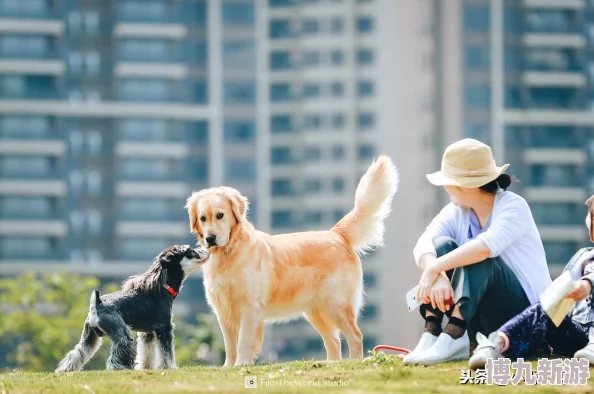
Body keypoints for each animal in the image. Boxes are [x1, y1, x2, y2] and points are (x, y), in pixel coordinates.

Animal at [53, 243, 210, 372]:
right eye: (189, 251)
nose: (207, 247)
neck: (163, 285)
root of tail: (96, 304)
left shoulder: (148, 333)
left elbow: (147, 353)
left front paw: (146, 368)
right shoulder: (164, 329)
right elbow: (166, 353)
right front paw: (169, 367)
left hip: (89, 336)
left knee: (77, 353)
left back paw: (65, 370)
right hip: (122, 335)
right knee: (116, 354)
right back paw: (120, 368)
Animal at [185, 155, 398, 366]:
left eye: (220, 215)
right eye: (203, 218)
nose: (210, 238)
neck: (229, 254)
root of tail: (336, 234)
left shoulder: (249, 308)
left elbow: (243, 342)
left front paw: (241, 364)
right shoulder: (223, 311)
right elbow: (230, 345)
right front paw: (229, 367)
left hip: (335, 305)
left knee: (355, 335)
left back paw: (352, 362)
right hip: (316, 311)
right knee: (334, 341)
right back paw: (330, 364)